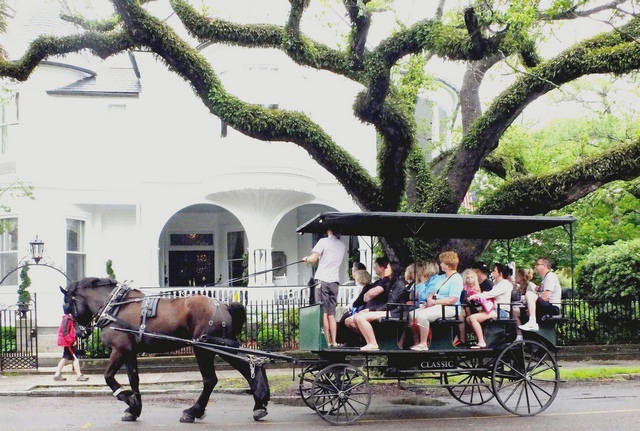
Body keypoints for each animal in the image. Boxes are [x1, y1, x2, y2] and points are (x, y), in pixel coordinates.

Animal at [60, 278, 270, 424]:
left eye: (67, 305)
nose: (78, 332)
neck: (116, 306)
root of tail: (223, 304)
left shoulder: (120, 350)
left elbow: (108, 377)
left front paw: (128, 400)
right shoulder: (130, 351)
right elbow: (133, 379)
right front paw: (134, 409)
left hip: (204, 348)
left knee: (211, 379)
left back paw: (193, 412)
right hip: (222, 345)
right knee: (248, 366)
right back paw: (259, 404)